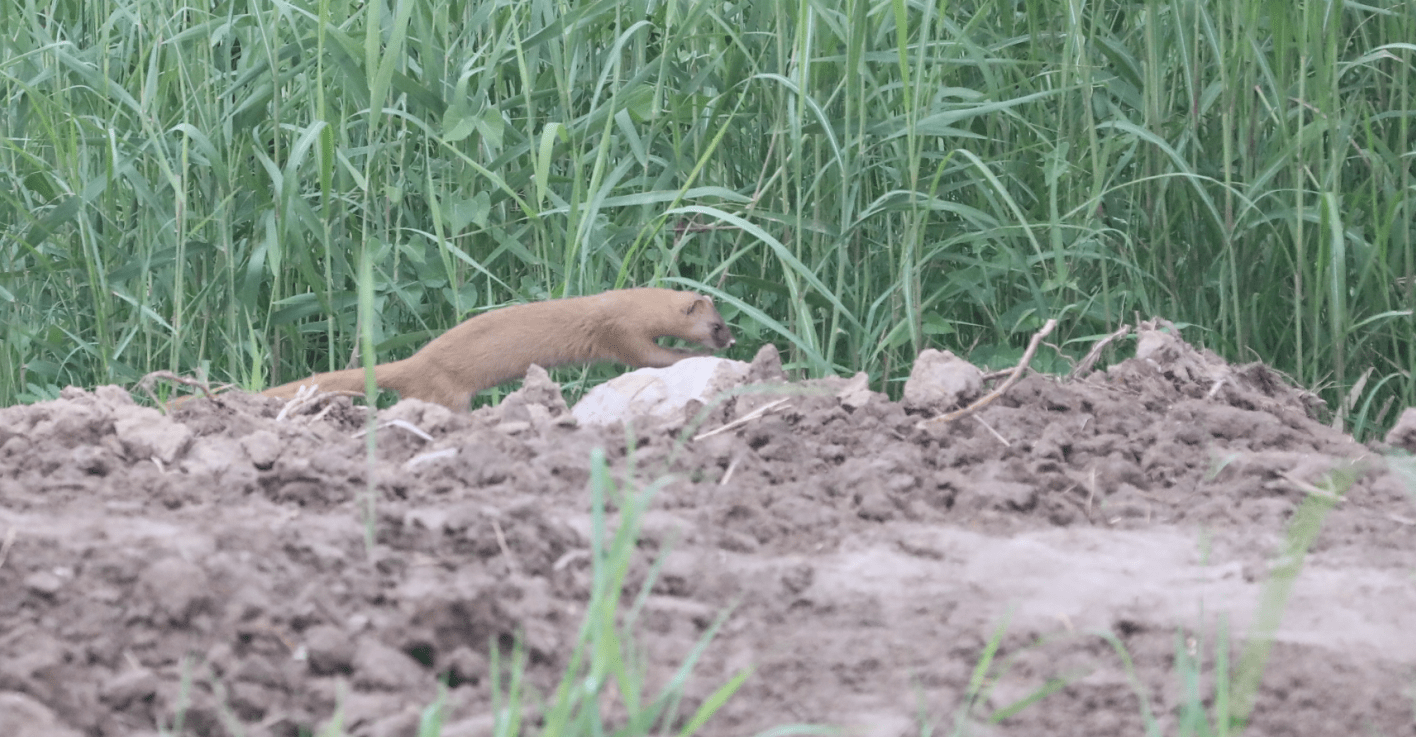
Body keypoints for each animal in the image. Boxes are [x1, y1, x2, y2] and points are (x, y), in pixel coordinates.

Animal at [259, 287, 736, 411]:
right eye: (716, 325)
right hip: (445, 392)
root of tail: (414, 361)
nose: (731, 338)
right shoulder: (619, 333)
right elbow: (648, 356)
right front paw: (696, 357)